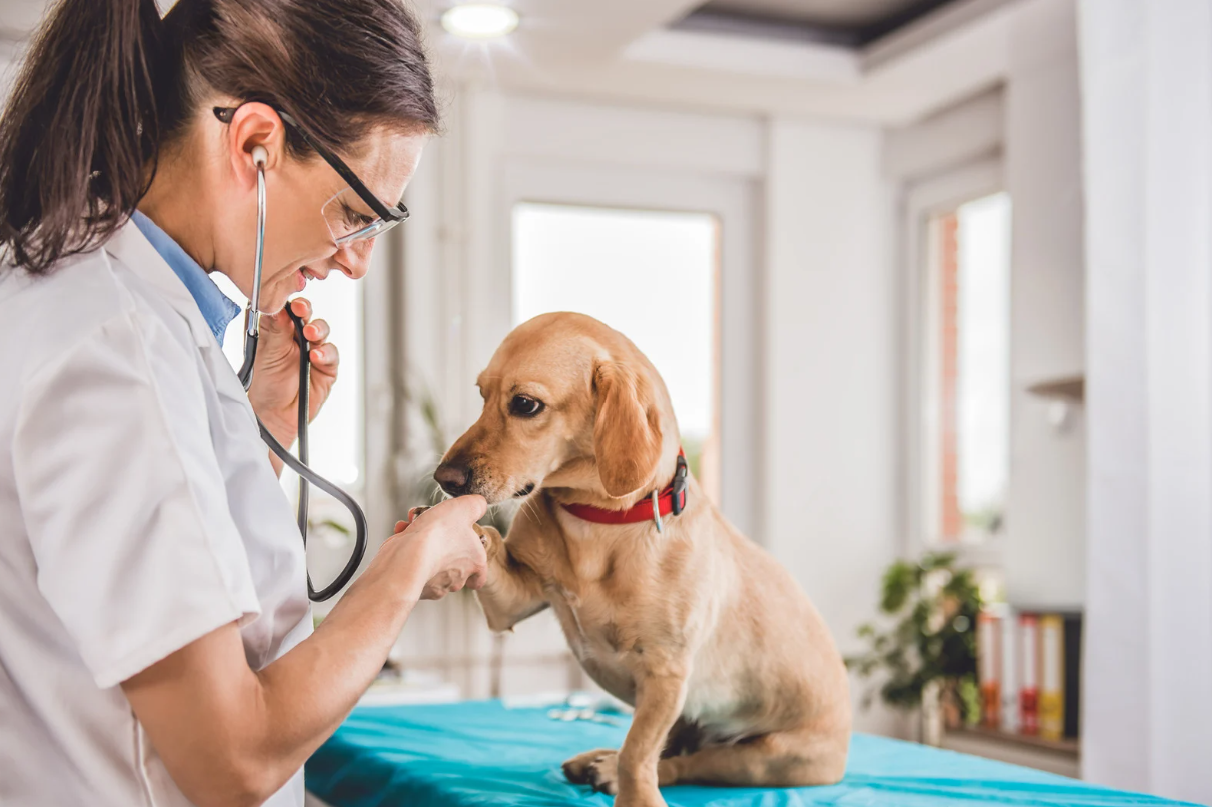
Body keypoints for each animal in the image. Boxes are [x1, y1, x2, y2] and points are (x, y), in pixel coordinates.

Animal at [431, 310, 848, 799]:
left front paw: (633, 794)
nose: (444, 478)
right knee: (670, 752)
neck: (596, 521)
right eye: (482, 394)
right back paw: (598, 760)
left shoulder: (665, 674)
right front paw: (455, 532)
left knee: (684, 763)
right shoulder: (511, 604)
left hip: (766, 759)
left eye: (526, 404)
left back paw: (611, 770)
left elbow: (638, 754)